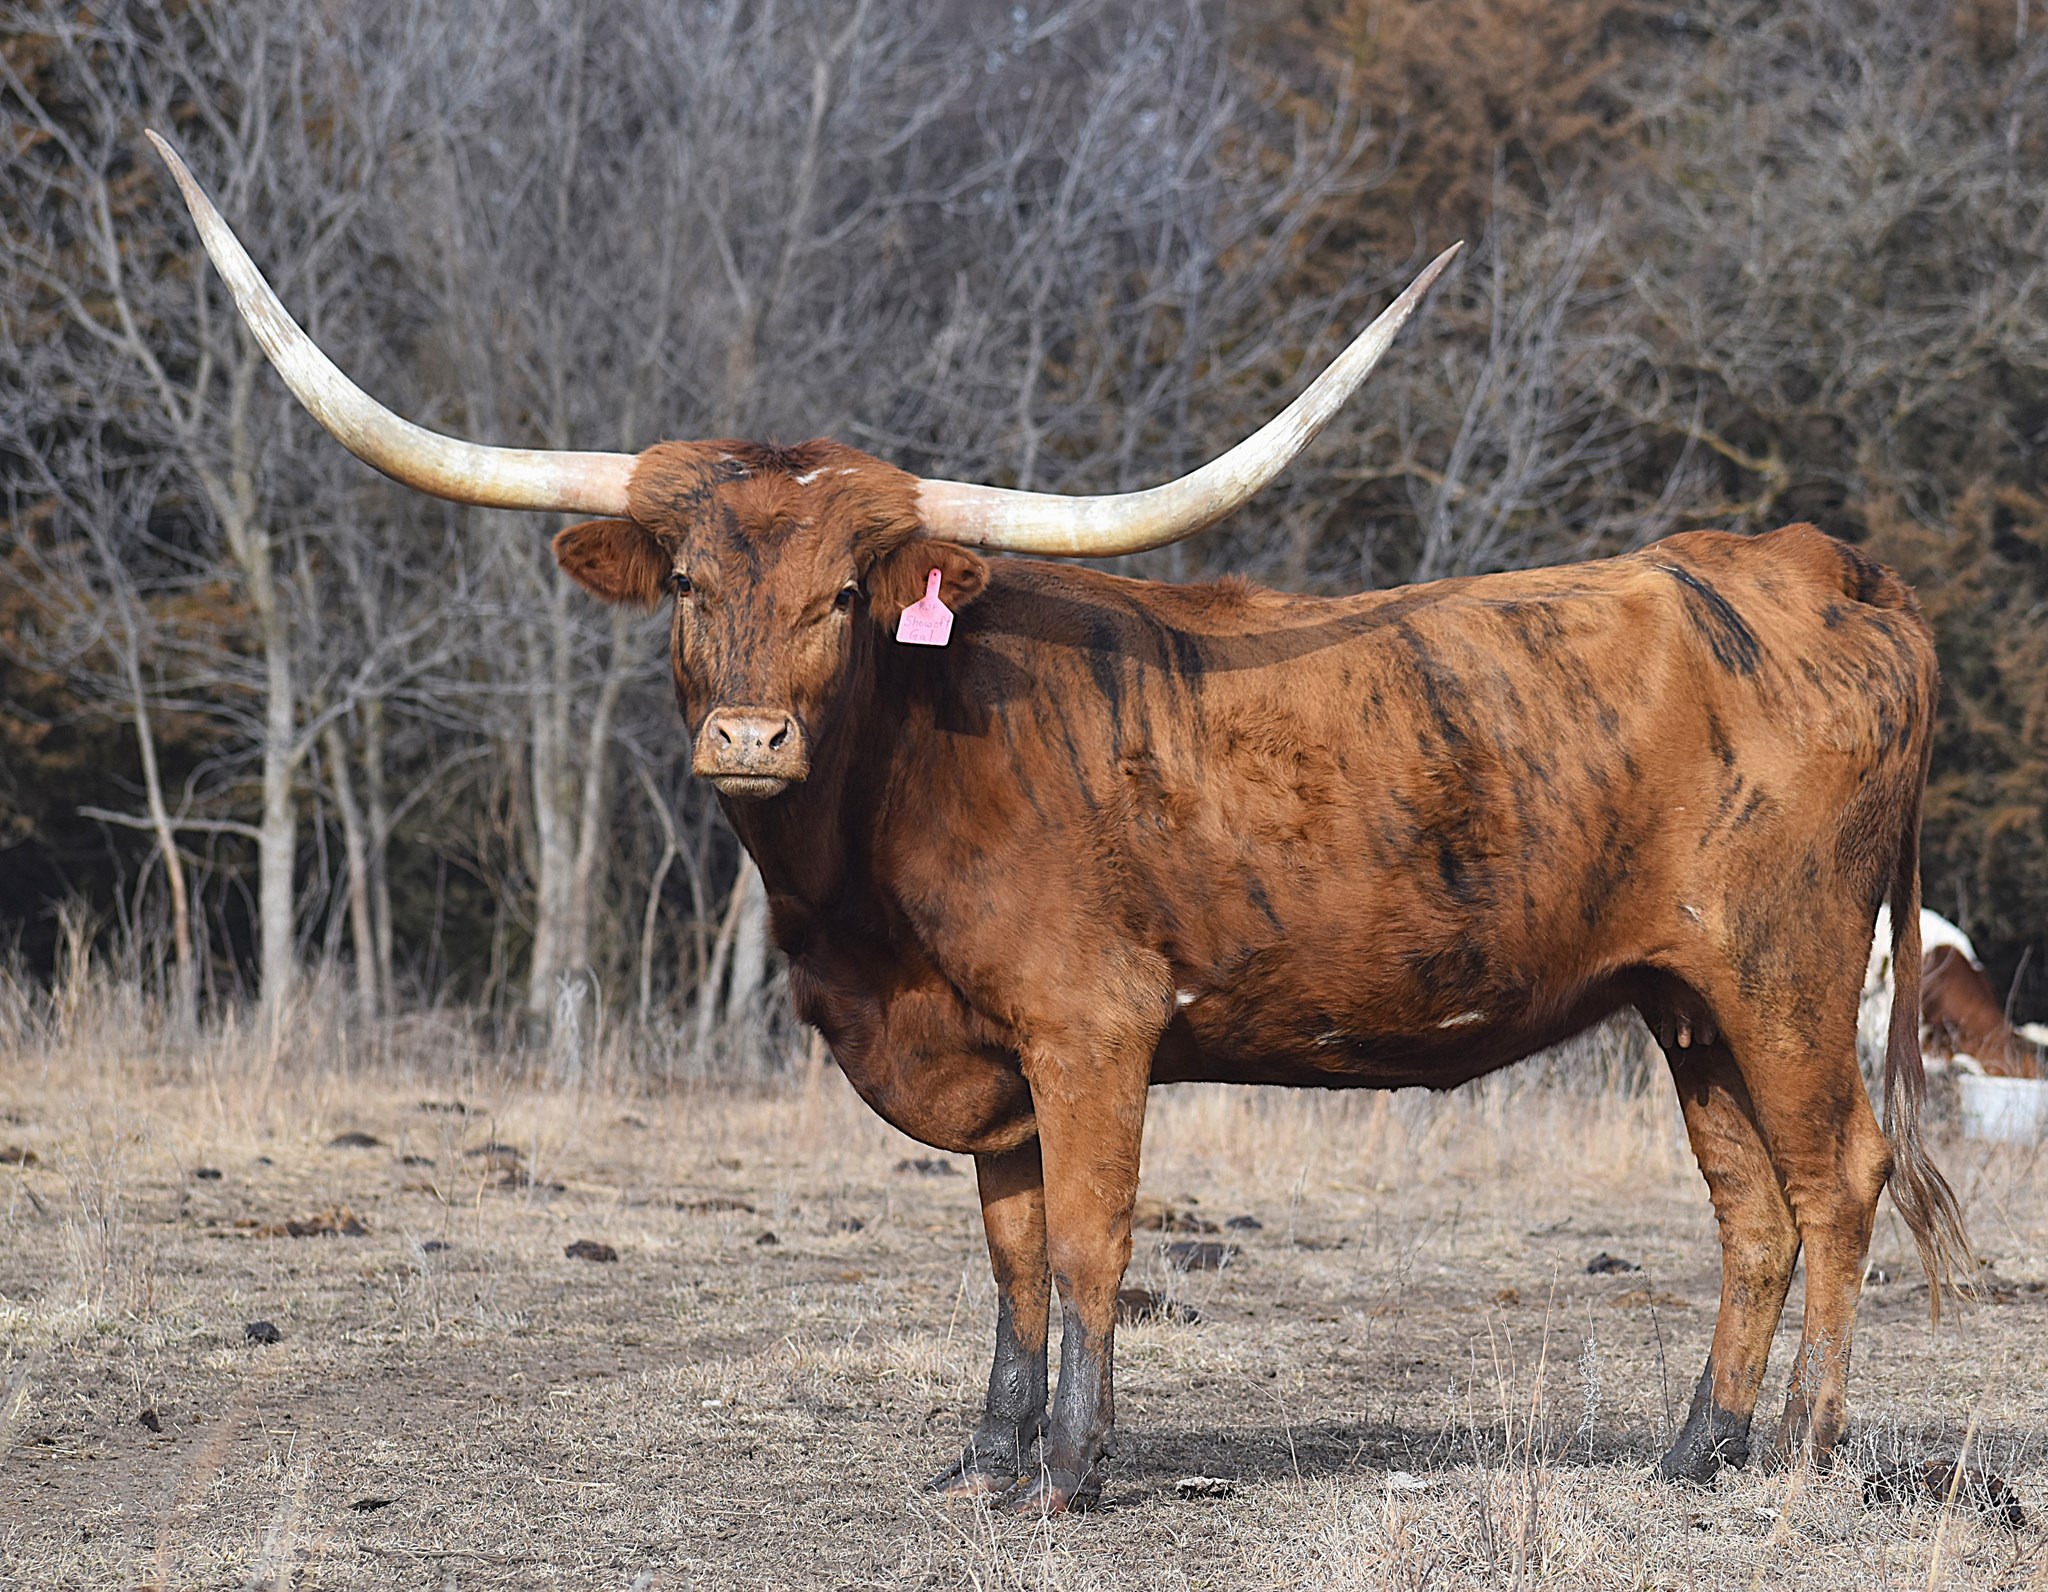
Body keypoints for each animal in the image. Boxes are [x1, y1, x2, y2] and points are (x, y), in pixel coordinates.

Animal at [152, 133, 1972, 1510]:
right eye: (681, 585)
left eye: (844, 596)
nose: (747, 736)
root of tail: (1811, 562)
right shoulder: (991, 1061)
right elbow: (1014, 1257)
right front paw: (987, 1455)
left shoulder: (1094, 1029)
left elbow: (1093, 1243)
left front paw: (1076, 1473)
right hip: (1683, 1000)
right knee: (1750, 1204)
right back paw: (1696, 1450)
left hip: (1788, 973)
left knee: (1840, 1178)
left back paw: (1802, 1454)